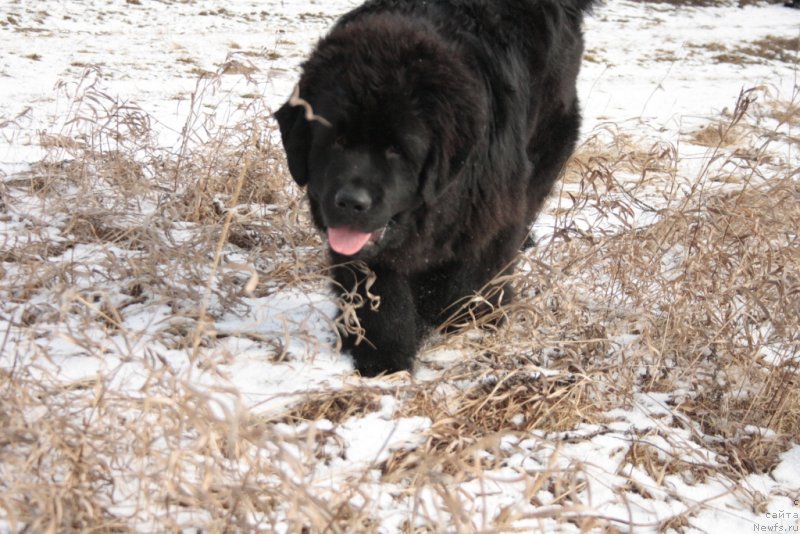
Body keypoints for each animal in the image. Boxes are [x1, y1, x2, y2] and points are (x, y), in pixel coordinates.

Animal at [276, 0, 592, 376]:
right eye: (336, 140)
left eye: (396, 149)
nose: (351, 202)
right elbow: (381, 300)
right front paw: (383, 360)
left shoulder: (492, 218)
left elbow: (468, 284)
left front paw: (470, 321)